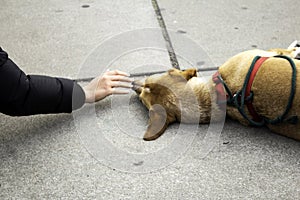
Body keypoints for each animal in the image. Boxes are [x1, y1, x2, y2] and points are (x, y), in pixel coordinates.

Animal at [133, 41, 300, 141]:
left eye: (148, 81)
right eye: (142, 98)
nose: (133, 84)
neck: (221, 93)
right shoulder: (267, 53)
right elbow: (285, 50)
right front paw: (296, 48)